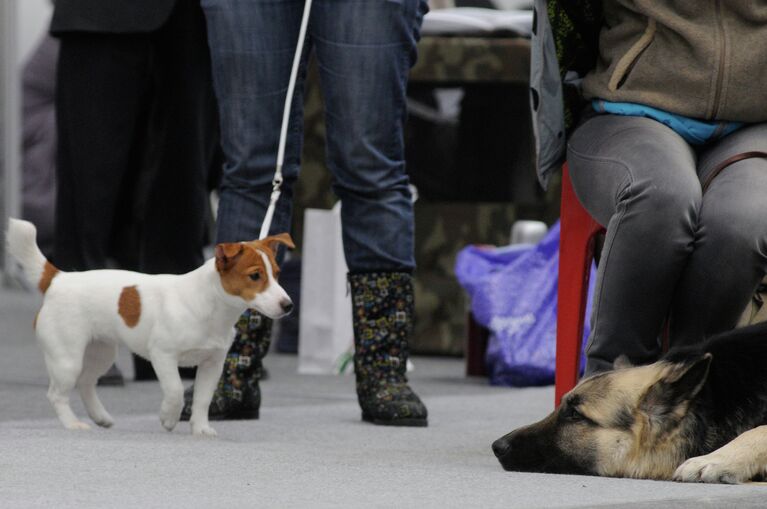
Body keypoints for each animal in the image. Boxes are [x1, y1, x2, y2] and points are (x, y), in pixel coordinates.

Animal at [5, 216, 294, 434]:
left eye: (278, 273)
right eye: (255, 276)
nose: (288, 305)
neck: (209, 306)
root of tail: (59, 279)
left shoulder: (213, 363)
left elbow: (202, 399)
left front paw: (200, 428)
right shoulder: (163, 355)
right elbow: (175, 390)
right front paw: (168, 418)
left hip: (101, 352)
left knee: (86, 383)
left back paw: (100, 417)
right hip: (67, 358)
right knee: (57, 393)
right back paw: (72, 424)